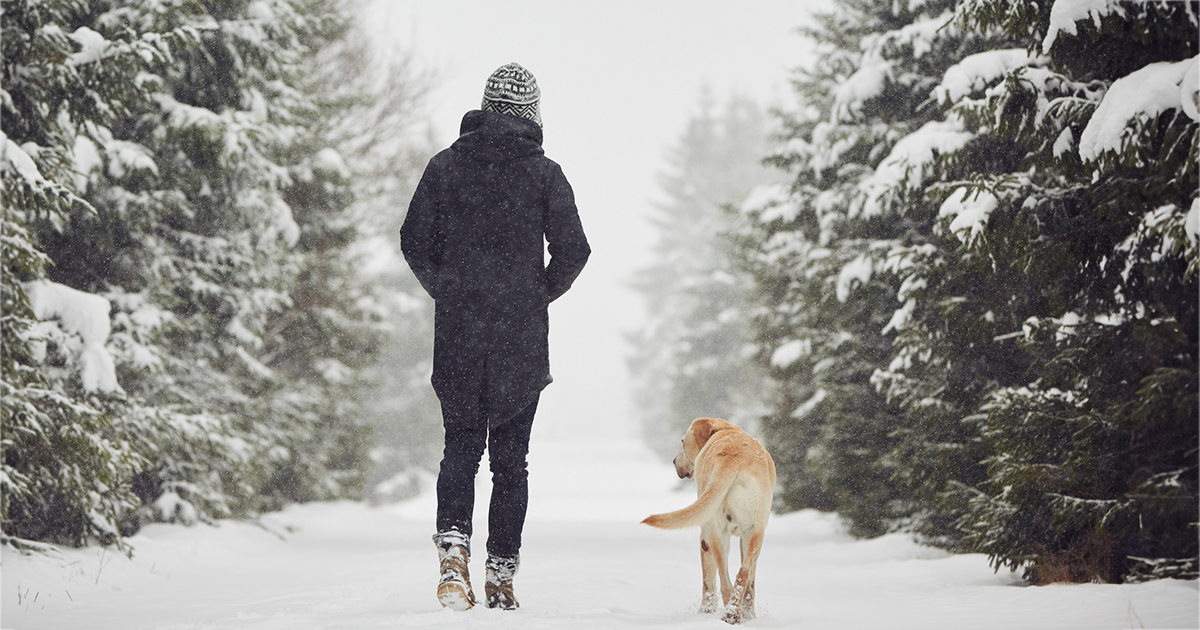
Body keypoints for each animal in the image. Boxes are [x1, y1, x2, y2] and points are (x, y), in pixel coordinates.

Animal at [643, 417, 772, 624]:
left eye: (682, 442)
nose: (673, 461)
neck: (724, 431)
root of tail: (731, 458)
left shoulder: (707, 538)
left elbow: (708, 581)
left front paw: (706, 611)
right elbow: (748, 581)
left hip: (718, 533)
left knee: (726, 580)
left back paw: (730, 614)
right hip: (750, 533)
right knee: (741, 576)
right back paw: (733, 614)